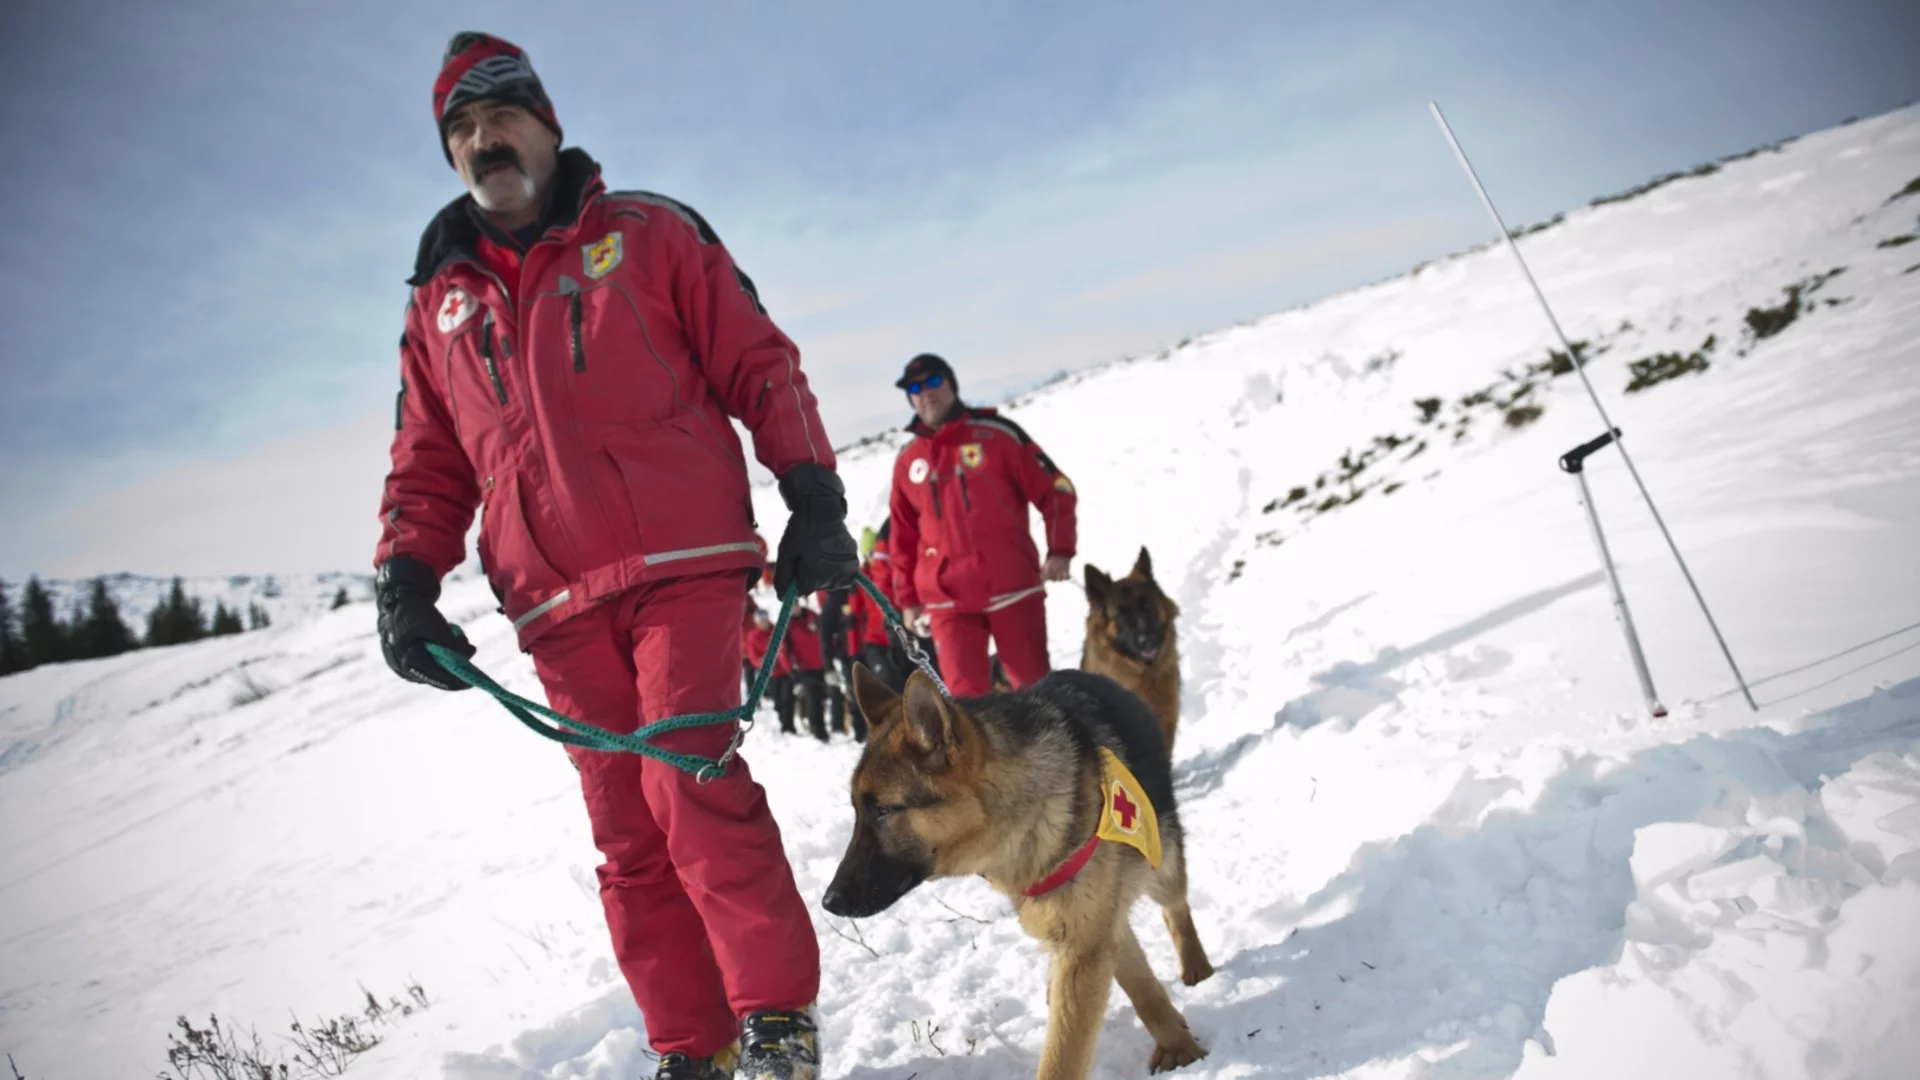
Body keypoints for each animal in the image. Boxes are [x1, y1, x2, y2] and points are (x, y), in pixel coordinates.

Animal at [825, 661, 1213, 1068]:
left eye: (883, 811)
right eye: (857, 810)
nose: (828, 902)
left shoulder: (1086, 937)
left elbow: (1063, 1055)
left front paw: (1181, 1050)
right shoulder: (1087, 930)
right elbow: (1137, 984)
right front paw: (1176, 1042)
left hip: (1161, 861)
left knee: (1175, 907)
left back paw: (1197, 967)